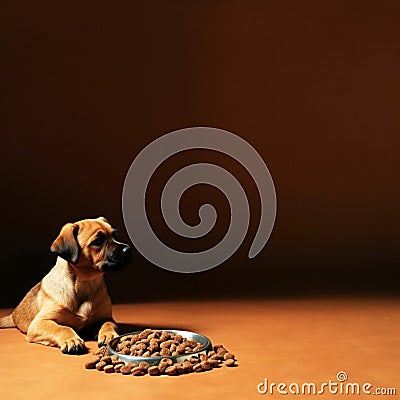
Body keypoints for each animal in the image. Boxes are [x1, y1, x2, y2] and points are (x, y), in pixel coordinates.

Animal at [0, 217, 133, 354]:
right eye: (98, 241)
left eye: (115, 235)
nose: (128, 249)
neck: (86, 284)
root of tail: (13, 315)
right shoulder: (40, 323)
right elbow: (62, 328)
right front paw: (72, 340)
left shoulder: (106, 317)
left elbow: (107, 324)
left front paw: (109, 334)